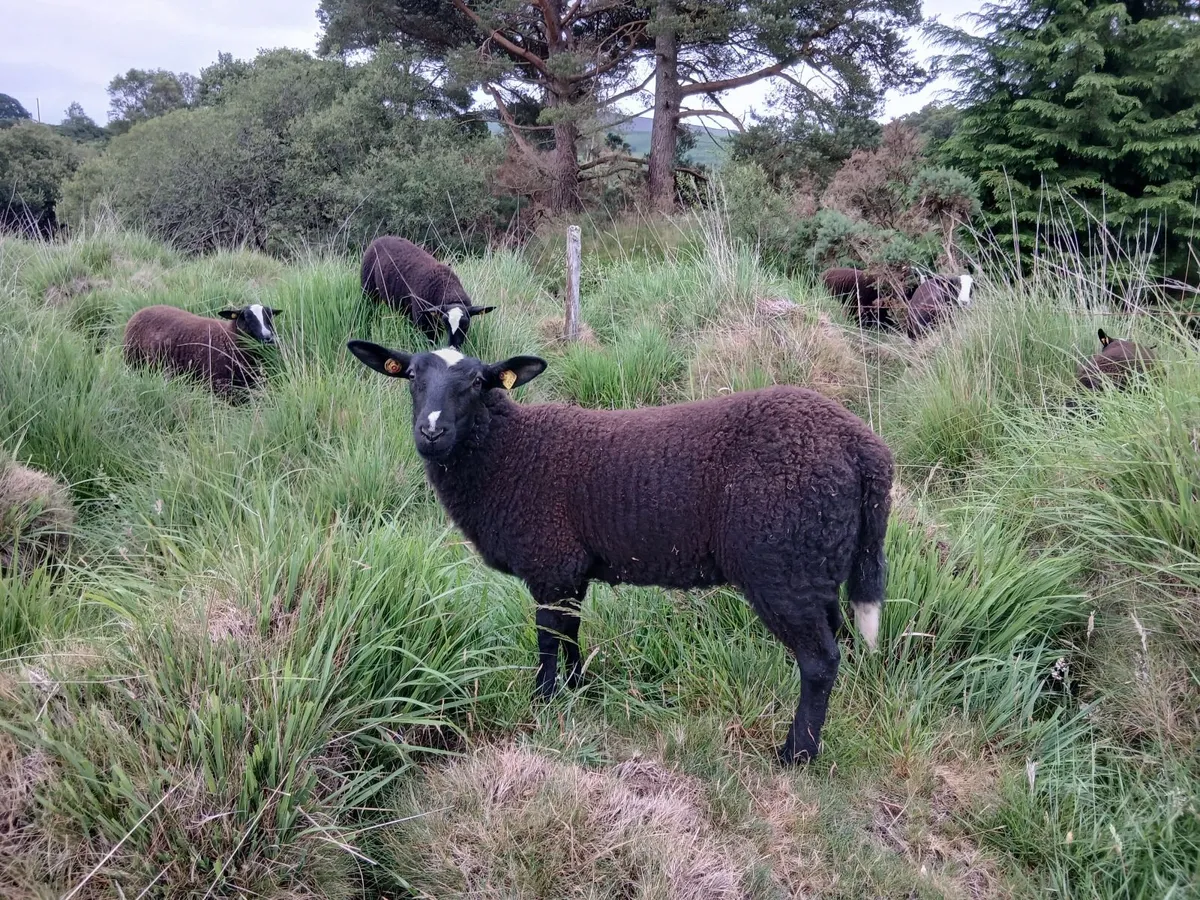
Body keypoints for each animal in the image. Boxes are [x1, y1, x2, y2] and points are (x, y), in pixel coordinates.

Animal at [122, 303, 279, 398]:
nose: (268, 337)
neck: (228, 337)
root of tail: (140, 311)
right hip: (134, 364)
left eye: (270, 316)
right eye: (246, 317)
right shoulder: (219, 385)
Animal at [346, 339, 895, 766]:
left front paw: (543, 704)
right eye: (411, 376)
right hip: (819, 563)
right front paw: (578, 689)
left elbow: (547, 639)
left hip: (781, 565)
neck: (507, 453)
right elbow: (569, 631)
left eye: (479, 382)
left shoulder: (550, 560)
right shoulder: (569, 569)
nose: (431, 432)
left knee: (819, 661)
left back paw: (796, 754)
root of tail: (865, 450)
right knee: (836, 641)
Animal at [361, 236, 495, 350]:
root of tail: (380, 238)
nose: (453, 348)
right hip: (368, 290)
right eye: (446, 324)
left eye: (466, 325)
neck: (446, 286)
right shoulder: (424, 325)